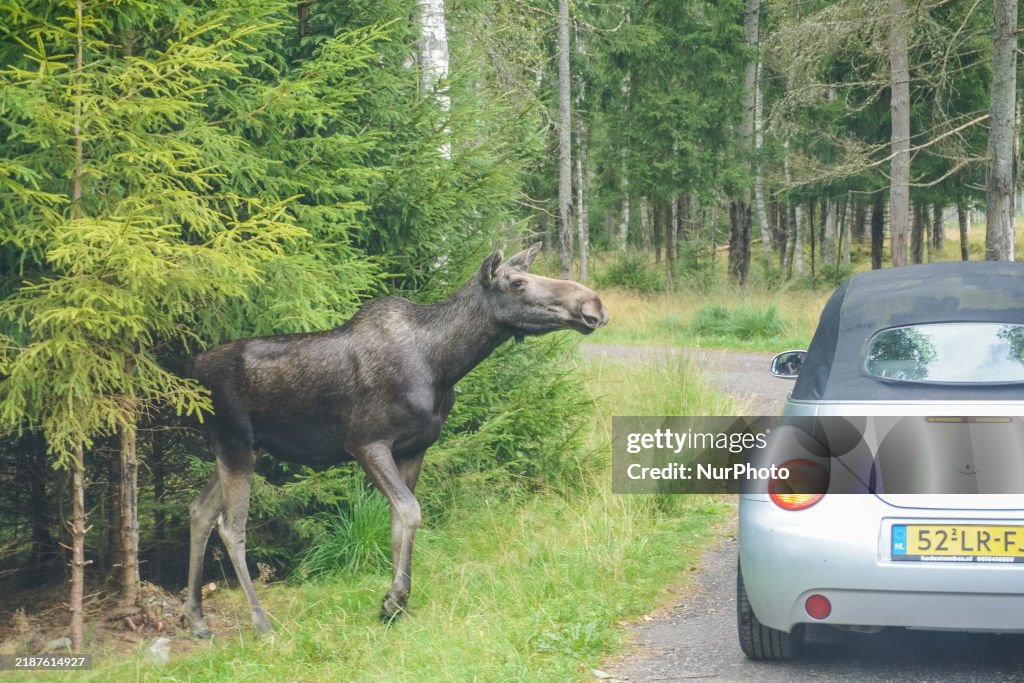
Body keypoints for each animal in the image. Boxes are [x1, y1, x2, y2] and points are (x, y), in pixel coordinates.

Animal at [183, 243, 608, 637]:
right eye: (518, 283)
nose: (594, 304)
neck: (445, 364)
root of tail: (193, 370)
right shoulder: (367, 443)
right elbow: (410, 511)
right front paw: (394, 599)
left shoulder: (413, 449)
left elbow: (397, 523)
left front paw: (393, 602)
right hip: (236, 443)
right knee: (230, 527)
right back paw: (260, 622)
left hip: (241, 449)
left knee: (199, 510)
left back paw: (197, 618)